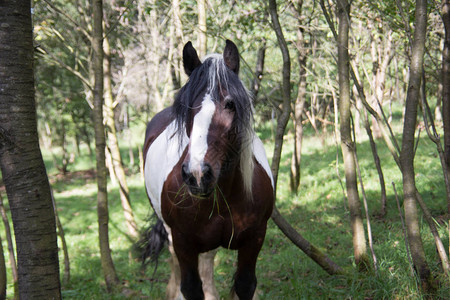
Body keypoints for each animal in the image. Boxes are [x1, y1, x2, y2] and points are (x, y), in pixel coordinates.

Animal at [143, 40, 274, 300]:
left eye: (230, 104)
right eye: (185, 107)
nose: (197, 174)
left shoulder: (255, 238)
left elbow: (244, 284)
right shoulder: (183, 242)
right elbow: (190, 287)